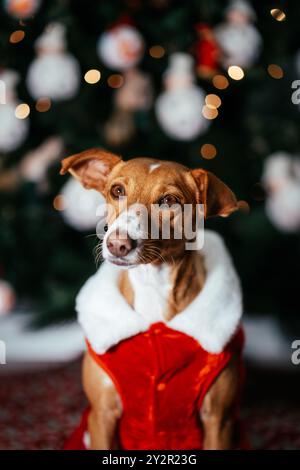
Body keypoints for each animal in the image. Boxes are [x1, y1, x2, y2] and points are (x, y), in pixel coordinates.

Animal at [60, 149, 241, 450]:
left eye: (169, 201)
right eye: (117, 190)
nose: (117, 244)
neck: (152, 284)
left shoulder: (219, 420)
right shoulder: (102, 416)